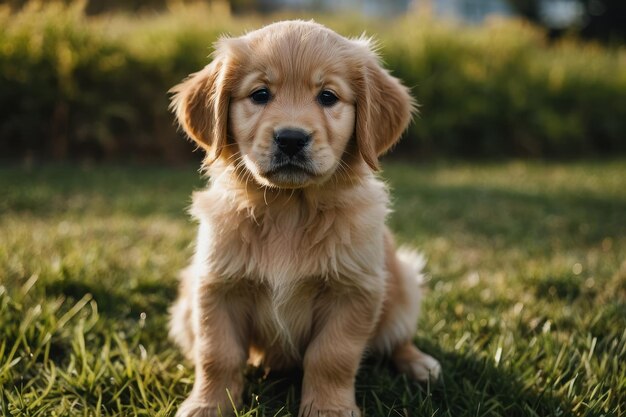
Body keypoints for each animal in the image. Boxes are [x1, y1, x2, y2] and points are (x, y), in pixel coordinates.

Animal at [167, 21, 438, 416]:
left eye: (327, 97)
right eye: (260, 94)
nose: (291, 139)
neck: (289, 210)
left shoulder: (353, 290)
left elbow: (331, 358)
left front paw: (328, 409)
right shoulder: (217, 286)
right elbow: (217, 354)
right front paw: (208, 406)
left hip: (403, 280)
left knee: (397, 338)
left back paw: (419, 364)